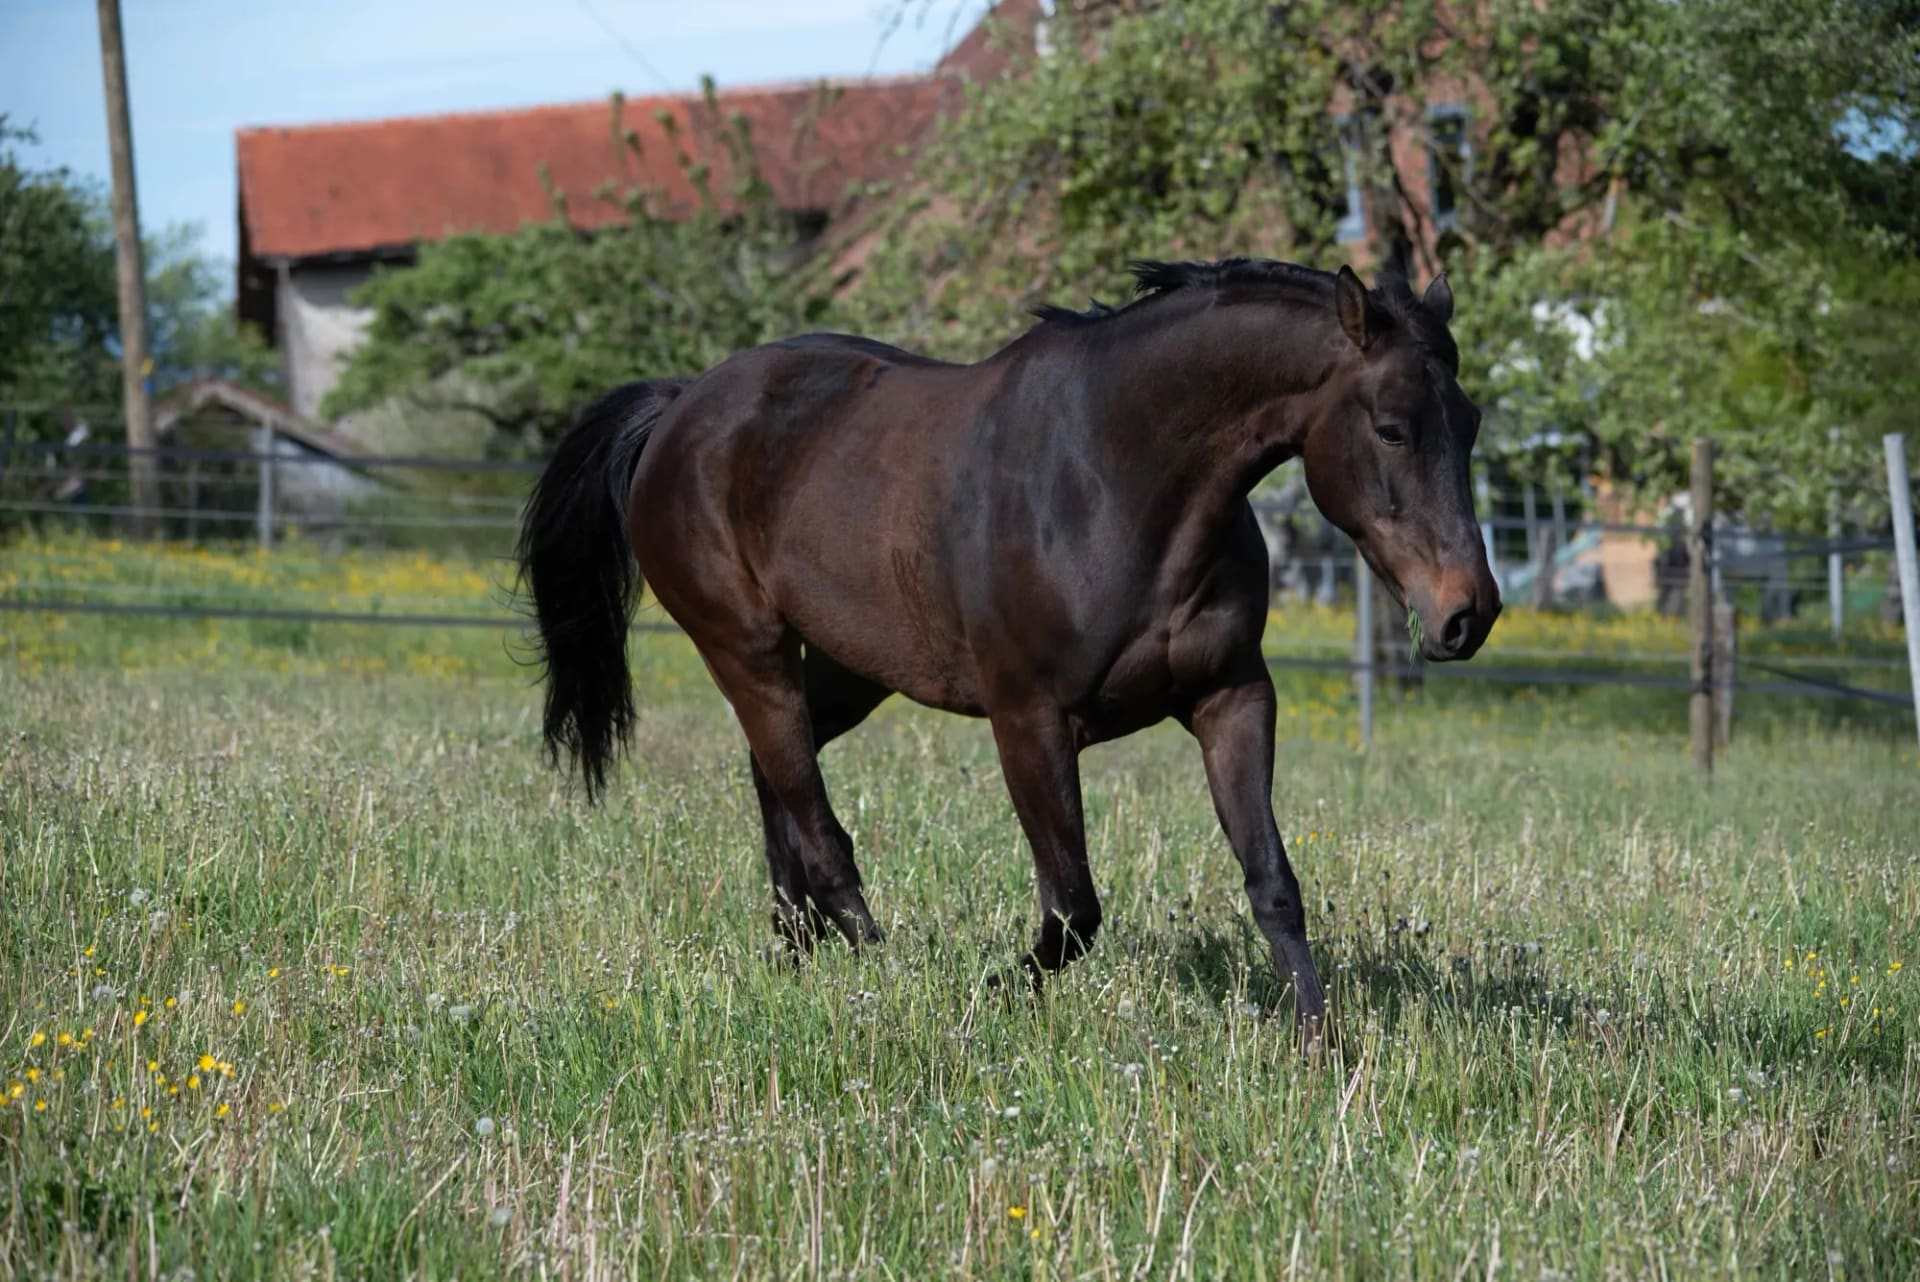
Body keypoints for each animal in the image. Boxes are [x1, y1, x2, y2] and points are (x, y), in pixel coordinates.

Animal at [517, 258, 1501, 1044]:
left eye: (1472, 421)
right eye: (1391, 427)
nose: (1469, 614)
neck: (1119, 477)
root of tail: (683, 405)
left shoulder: (1231, 697)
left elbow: (1273, 882)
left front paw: (1319, 1045)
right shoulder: (1028, 718)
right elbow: (1073, 910)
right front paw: (987, 994)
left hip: (847, 669)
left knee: (775, 784)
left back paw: (795, 949)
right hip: (747, 649)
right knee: (814, 816)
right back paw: (880, 971)